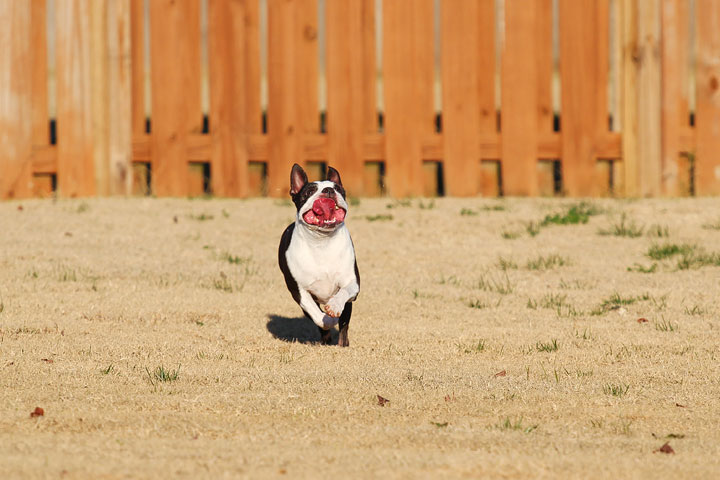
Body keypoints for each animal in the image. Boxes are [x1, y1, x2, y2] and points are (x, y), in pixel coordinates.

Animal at [280, 164, 360, 344]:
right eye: (309, 191)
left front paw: (334, 307)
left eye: (338, 189)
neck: (321, 242)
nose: (329, 190)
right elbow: (316, 314)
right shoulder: (298, 291)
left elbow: (344, 292)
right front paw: (329, 320)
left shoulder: (353, 284)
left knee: (344, 328)